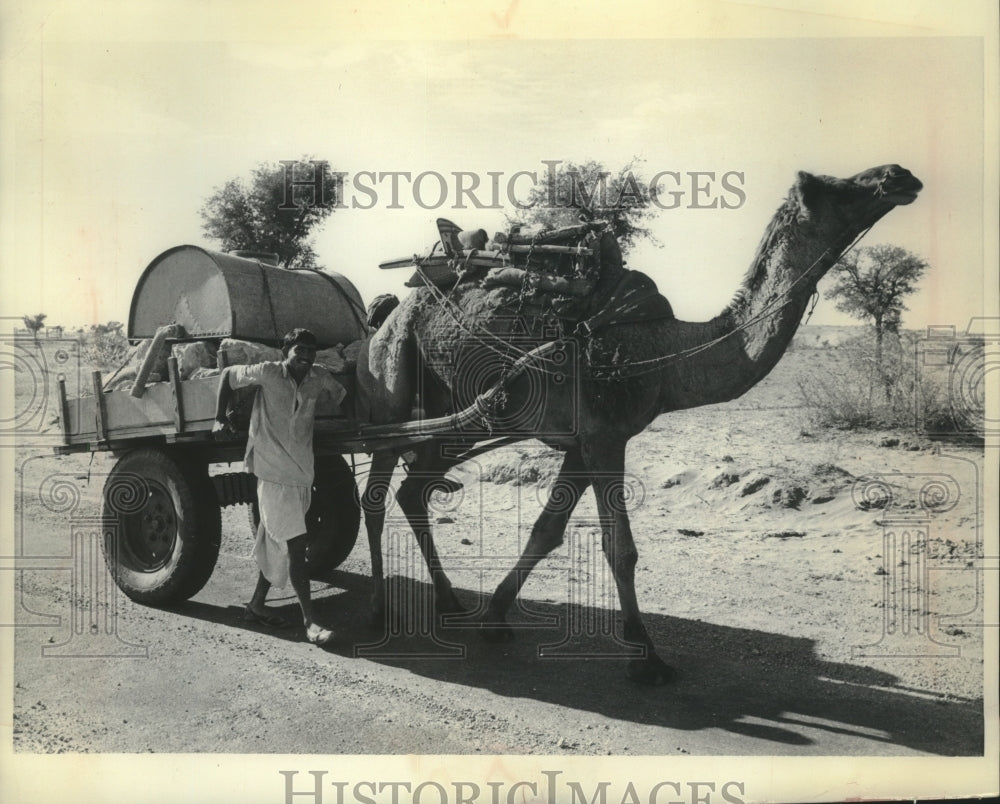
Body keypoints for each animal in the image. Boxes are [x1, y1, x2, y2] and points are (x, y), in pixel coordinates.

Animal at [358, 163, 920, 684]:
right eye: (834, 187)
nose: (900, 175)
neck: (668, 353)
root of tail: (389, 311)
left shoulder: (585, 441)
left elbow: (547, 531)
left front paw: (495, 618)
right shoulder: (607, 436)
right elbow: (619, 548)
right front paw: (647, 658)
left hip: (452, 416)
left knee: (413, 491)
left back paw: (449, 601)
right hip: (393, 380)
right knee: (376, 491)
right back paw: (380, 610)